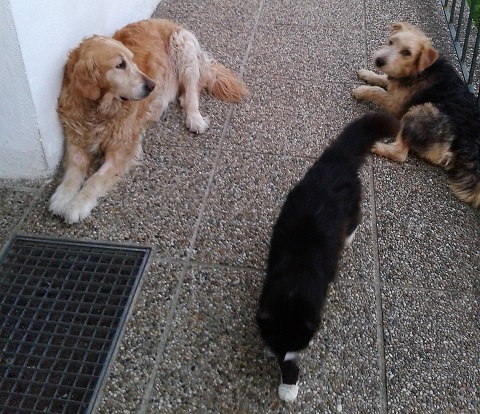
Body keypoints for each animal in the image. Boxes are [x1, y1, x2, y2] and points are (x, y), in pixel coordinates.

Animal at [49, 18, 249, 224]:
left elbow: (96, 178)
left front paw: (77, 205)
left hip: (183, 46)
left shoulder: (123, 148)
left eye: (132, 61)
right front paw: (62, 197)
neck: (99, 110)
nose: (152, 85)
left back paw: (195, 118)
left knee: (192, 92)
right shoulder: (76, 138)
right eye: (120, 65)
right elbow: (73, 172)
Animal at [256, 113, 400, 402]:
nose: (281, 356)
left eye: (297, 344)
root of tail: (337, 159)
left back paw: (349, 237)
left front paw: (288, 385)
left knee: (355, 220)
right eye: (277, 345)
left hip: (353, 203)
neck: (296, 274)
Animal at [353, 22, 480, 208]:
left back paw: (375, 145)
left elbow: (377, 90)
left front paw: (361, 91)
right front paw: (368, 74)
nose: (379, 60)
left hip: (419, 112)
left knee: (400, 153)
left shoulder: (396, 104)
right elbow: (383, 79)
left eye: (407, 52)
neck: (421, 69)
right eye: (391, 42)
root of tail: (464, 145)